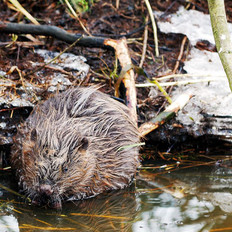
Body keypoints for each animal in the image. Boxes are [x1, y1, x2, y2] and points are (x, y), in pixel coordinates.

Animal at [10, 87, 140, 208]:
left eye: (66, 169)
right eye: (35, 163)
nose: (45, 189)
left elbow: (88, 188)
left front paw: (57, 201)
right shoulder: (20, 144)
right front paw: (35, 197)